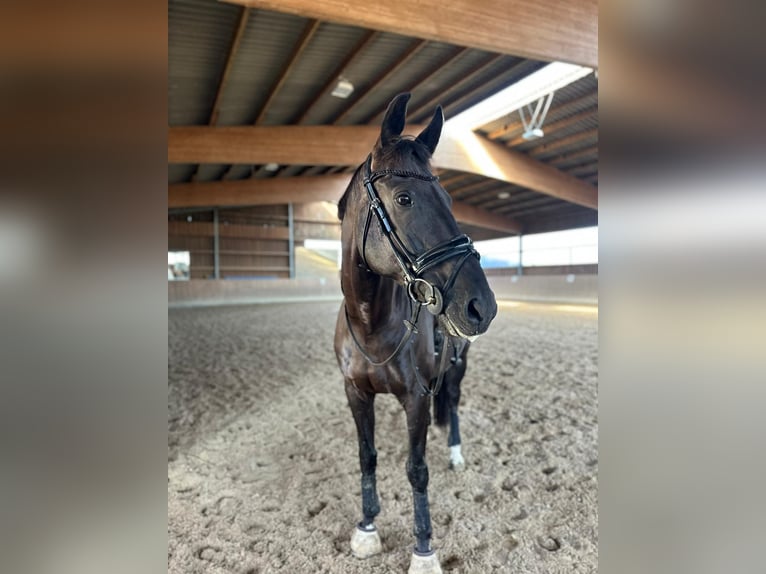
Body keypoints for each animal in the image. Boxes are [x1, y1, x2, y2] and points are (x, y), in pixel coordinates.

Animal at [333, 93, 497, 573]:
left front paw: (424, 550)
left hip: (459, 365)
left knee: (455, 402)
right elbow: (367, 456)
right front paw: (367, 528)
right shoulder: (355, 393)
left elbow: (417, 468)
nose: (482, 306)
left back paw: (456, 452)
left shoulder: (417, 397)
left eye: (447, 196)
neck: (373, 326)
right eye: (404, 197)